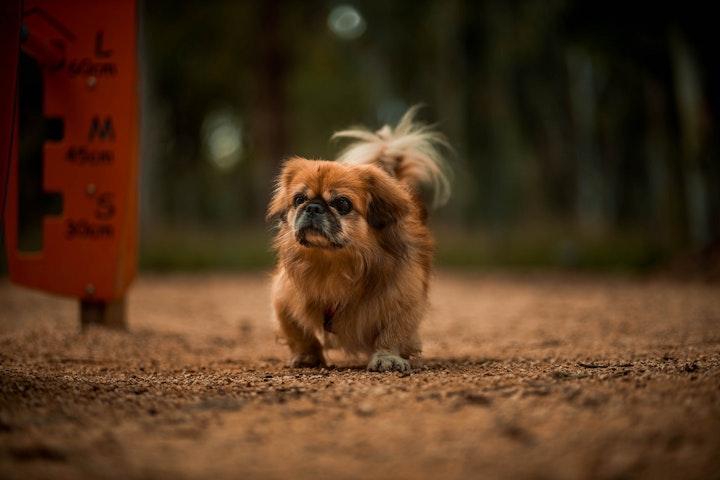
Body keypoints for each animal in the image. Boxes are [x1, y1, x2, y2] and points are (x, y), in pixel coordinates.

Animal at [268, 107, 452, 374]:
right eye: (299, 199)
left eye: (342, 204)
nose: (313, 207)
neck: (332, 263)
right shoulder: (283, 297)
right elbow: (298, 332)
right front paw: (306, 356)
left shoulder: (404, 297)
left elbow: (393, 332)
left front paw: (386, 358)